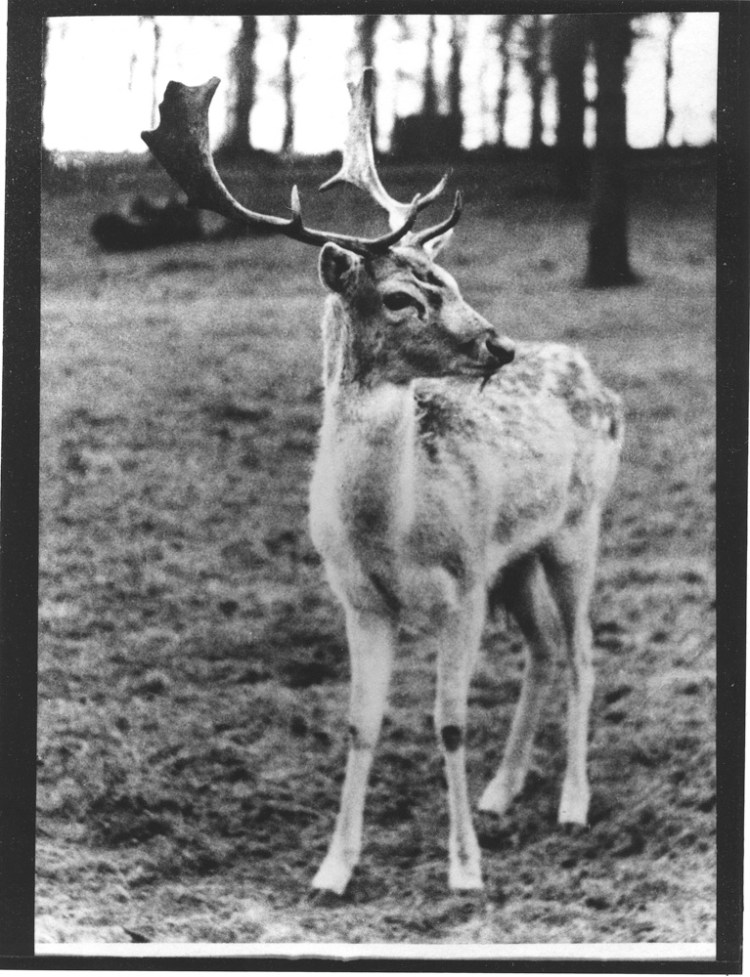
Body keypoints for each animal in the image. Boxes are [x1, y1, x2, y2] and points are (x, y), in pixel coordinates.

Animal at [142, 69, 623, 895]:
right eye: (402, 297)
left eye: (453, 280)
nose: (496, 344)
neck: (390, 531)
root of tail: (594, 374)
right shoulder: (361, 598)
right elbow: (359, 723)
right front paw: (333, 867)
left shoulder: (461, 583)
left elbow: (449, 722)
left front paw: (464, 869)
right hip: (513, 557)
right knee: (544, 648)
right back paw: (503, 789)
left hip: (576, 525)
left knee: (585, 652)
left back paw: (572, 802)